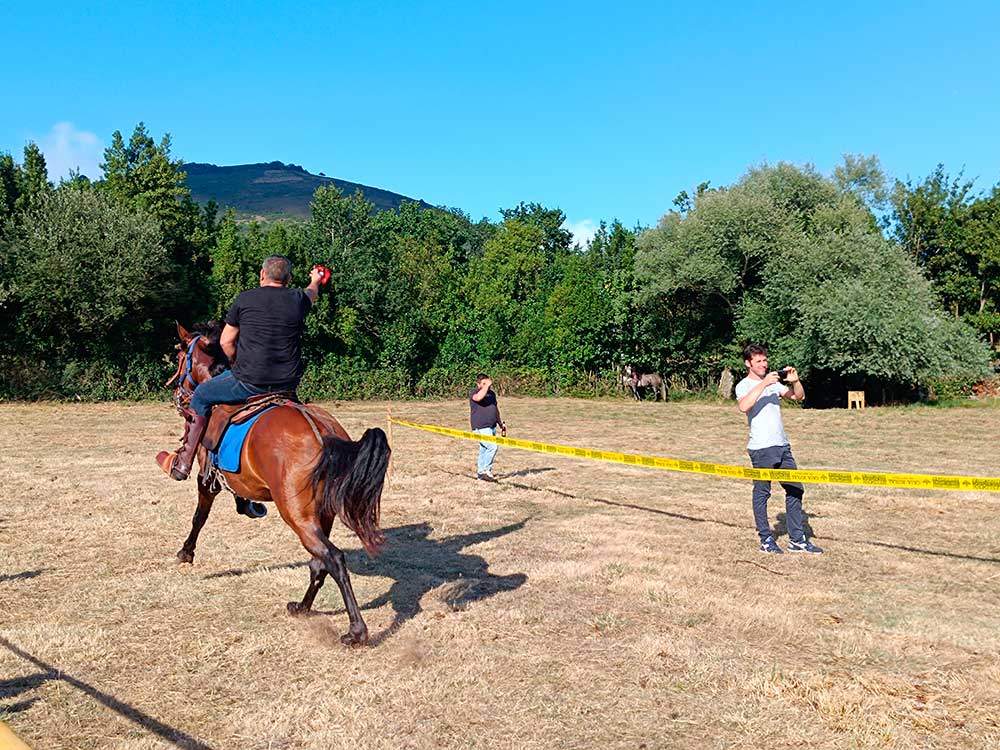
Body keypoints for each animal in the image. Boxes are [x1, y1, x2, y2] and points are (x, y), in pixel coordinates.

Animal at [162, 321, 390, 646]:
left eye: (181, 356)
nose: (176, 393)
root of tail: (323, 432)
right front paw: (248, 506)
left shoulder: (206, 481)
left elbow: (199, 518)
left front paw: (186, 552)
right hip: (321, 515)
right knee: (319, 563)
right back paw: (302, 607)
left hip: (296, 515)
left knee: (333, 558)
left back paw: (356, 630)